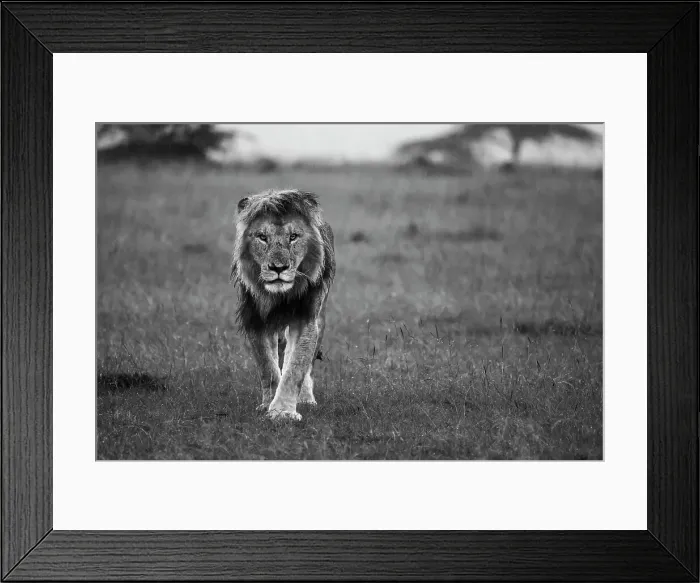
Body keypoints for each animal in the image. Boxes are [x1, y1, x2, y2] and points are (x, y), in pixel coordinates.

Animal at [230, 189, 335, 420]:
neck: (279, 296)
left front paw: (283, 412)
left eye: (293, 237)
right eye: (262, 237)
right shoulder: (255, 318)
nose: (278, 268)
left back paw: (305, 398)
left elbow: (296, 366)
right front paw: (268, 404)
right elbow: (267, 367)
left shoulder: (306, 317)